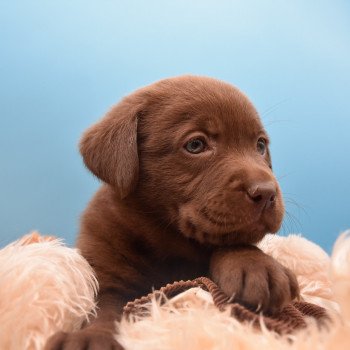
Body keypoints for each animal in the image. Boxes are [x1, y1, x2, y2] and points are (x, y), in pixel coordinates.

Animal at [45, 76, 298, 350]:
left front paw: (257, 266)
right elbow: (102, 309)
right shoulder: (106, 271)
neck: (170, 242)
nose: (267, 192)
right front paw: (90, 337)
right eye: (196, 145)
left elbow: (233, 241)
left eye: (260, 145)